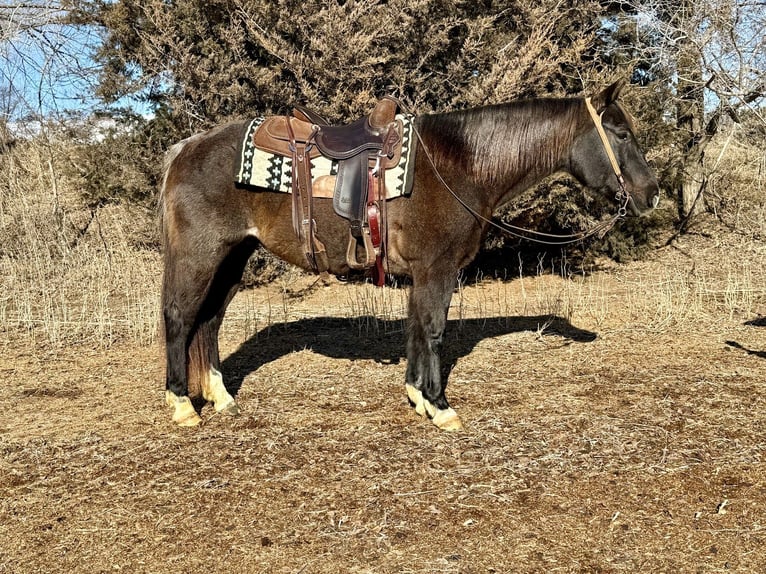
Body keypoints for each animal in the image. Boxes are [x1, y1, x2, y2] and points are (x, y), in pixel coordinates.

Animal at [159, 80, 660, 430]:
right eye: (619, 132)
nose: (651, 193)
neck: (462, 164)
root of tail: (185, 149)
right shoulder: (438, 270)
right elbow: (434, 330)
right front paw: (440, 406)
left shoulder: (424, 274)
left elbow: (417, 328)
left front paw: (418, 397)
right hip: (200, 256)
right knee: (180, 317)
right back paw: (183, 404)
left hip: (232, 258)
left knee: (209, 320)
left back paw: (220, 397)